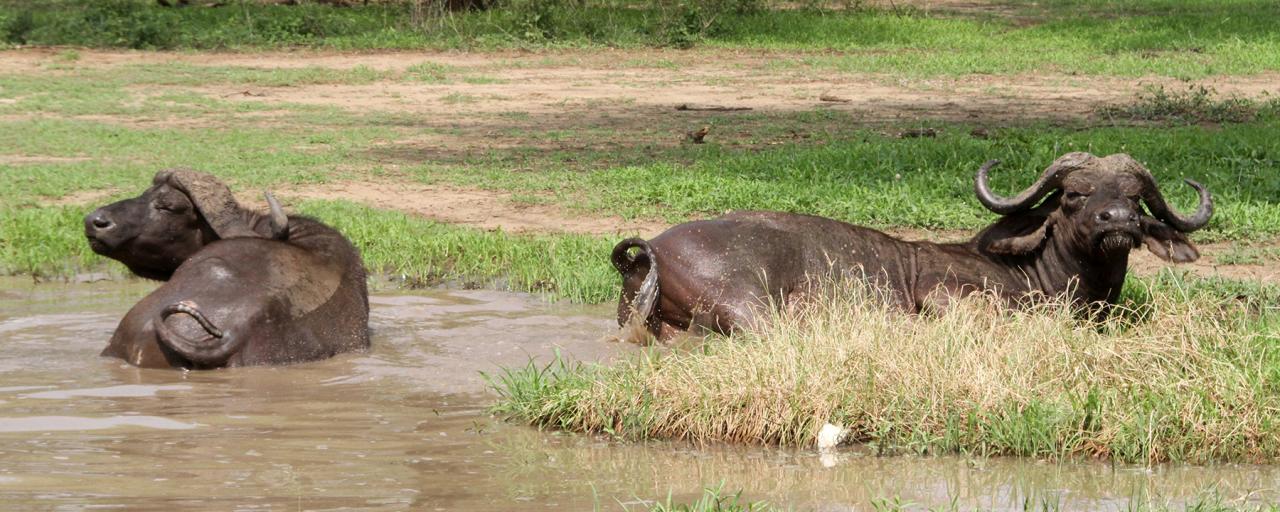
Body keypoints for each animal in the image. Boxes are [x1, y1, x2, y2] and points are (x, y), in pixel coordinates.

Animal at [614, 152, 1213, 343]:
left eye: (1134, 197)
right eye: (1074, 195)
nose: (1118, 222)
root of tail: (651, 252)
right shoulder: (940, 289)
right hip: (748, 305)